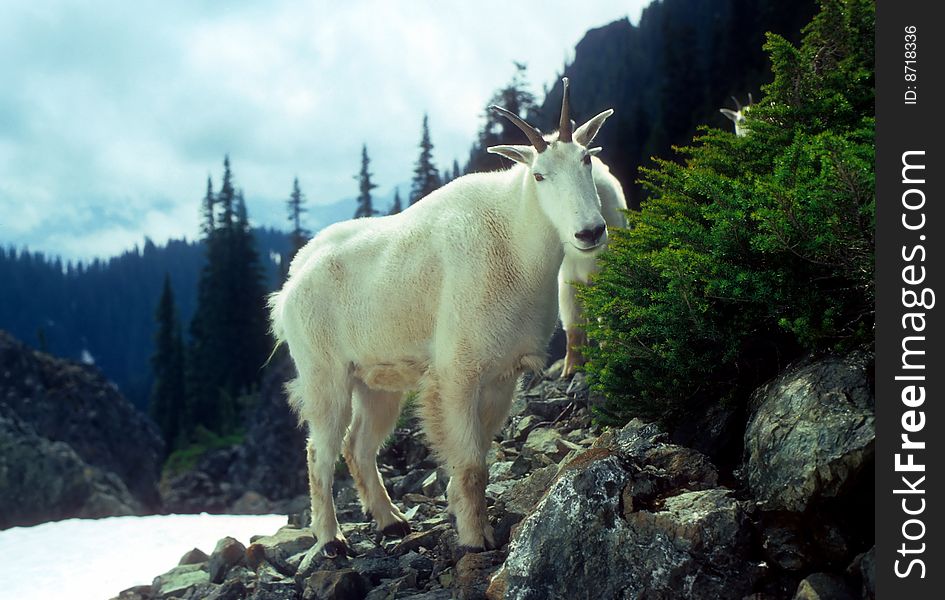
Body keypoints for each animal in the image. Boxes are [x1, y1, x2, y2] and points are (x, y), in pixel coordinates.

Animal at [270, 79, 616, 556]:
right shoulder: (457, 372)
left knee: (358, 447)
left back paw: (391, 521)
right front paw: (475, 539)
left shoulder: (501, 375)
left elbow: (479, 459)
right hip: (325, 377)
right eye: (539, 175)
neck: (517, 242)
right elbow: (470, 464)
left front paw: (465, 516)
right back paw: (331, 539)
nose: (590, 232)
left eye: (587, 160)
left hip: (375, 382)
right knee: (318, 453)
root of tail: (292, 280)